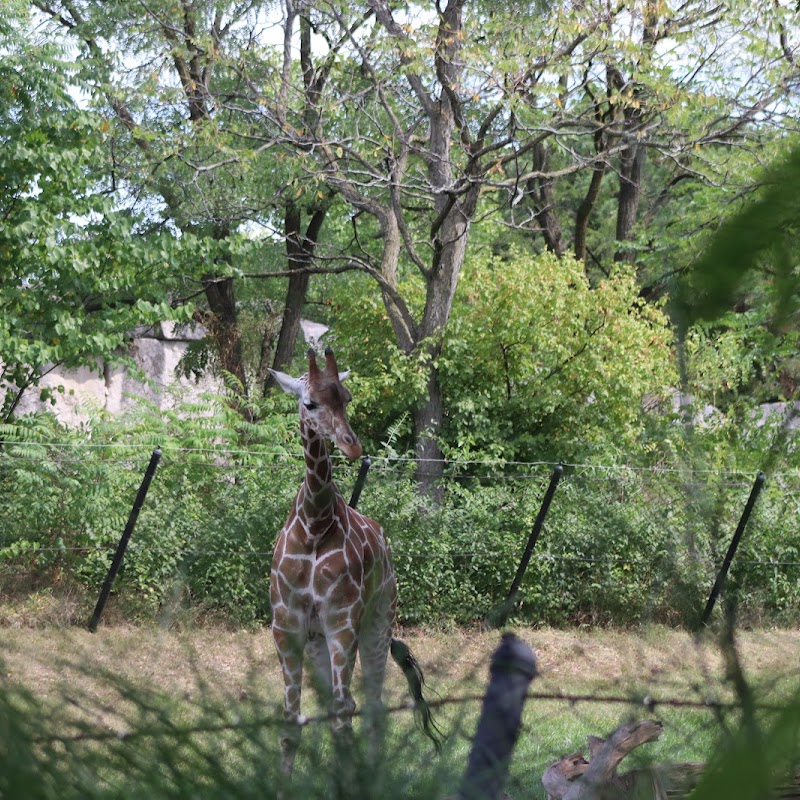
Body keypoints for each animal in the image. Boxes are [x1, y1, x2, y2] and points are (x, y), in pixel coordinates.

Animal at [268, 346, 444, 780]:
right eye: (309, 402)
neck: (315, 525)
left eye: (346, 398)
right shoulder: (287, 626)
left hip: (376, 623)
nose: (352, 447)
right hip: (319, 640)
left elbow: (345, 715)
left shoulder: (343, 622)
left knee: (370, 706)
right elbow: (292, 723)